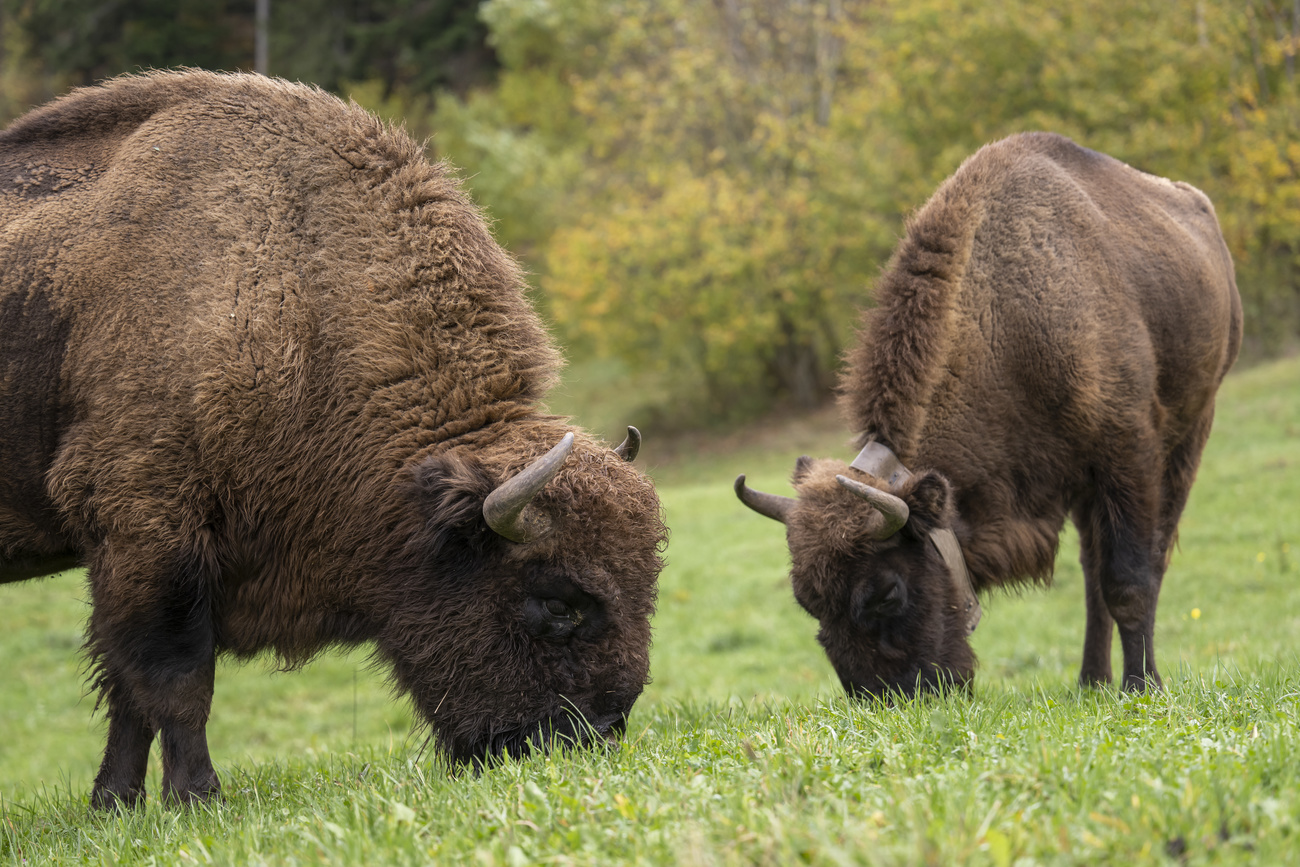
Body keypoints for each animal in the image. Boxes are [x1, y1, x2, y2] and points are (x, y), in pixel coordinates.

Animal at [0, 71, 665, 806]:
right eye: (556, 601)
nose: (592, 736)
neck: (297, 303)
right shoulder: (147, 533)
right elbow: (174, 680)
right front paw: (196, 795)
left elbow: (129, 692)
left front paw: (116, 803)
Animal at [737, 132, 1242, 699]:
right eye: (808, 601)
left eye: (887, 593)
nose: (892, 698)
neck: (1006, 326)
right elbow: (1102, 579)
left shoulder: (1127, 456)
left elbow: (1129, 581)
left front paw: (1143, 687)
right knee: (1092, 574)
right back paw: (1090, 681)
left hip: (1190, 432)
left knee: (1145, 562)